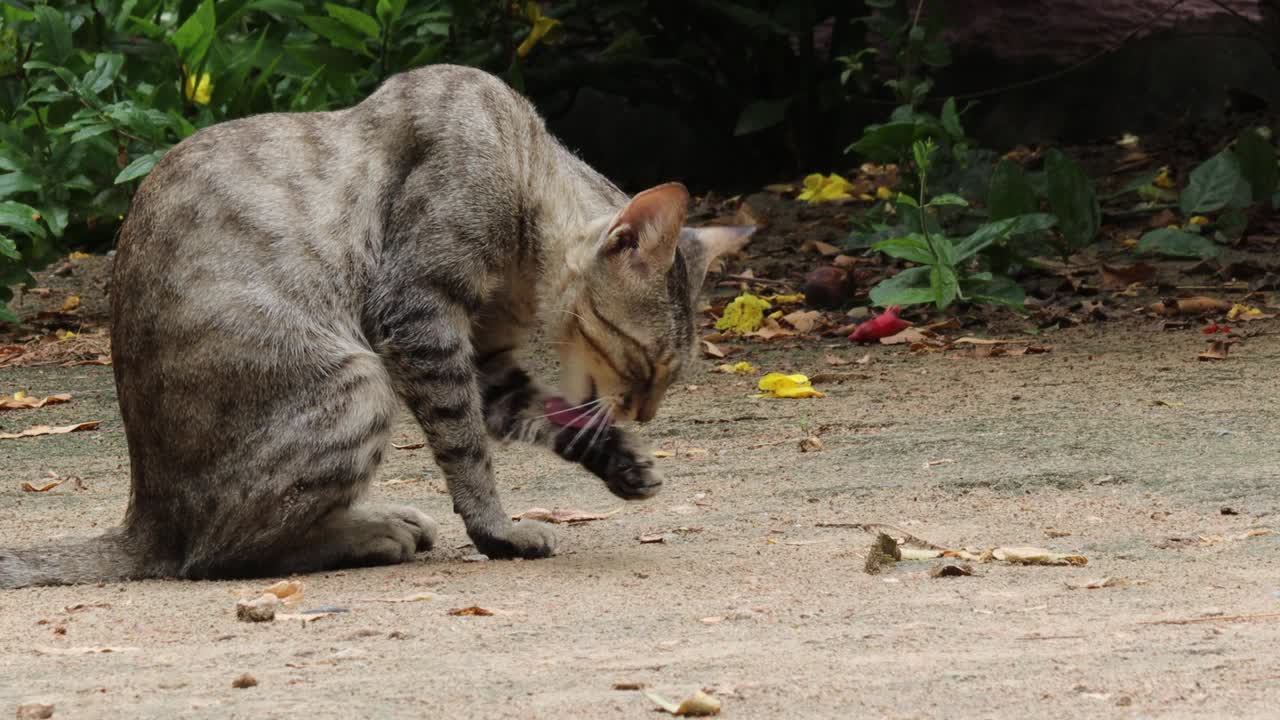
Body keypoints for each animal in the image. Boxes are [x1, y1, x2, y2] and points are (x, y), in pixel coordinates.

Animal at [0, 64, 747, 586]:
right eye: (646, 363)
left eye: (668, 377)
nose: (646, 414)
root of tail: (145, 519)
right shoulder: (418, 316)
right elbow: (468, 450)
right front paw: (499, 534)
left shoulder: (484, 359)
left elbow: (544, 416)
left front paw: (621, 460)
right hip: (358, 382)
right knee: (220, 555)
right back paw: (374, 532)